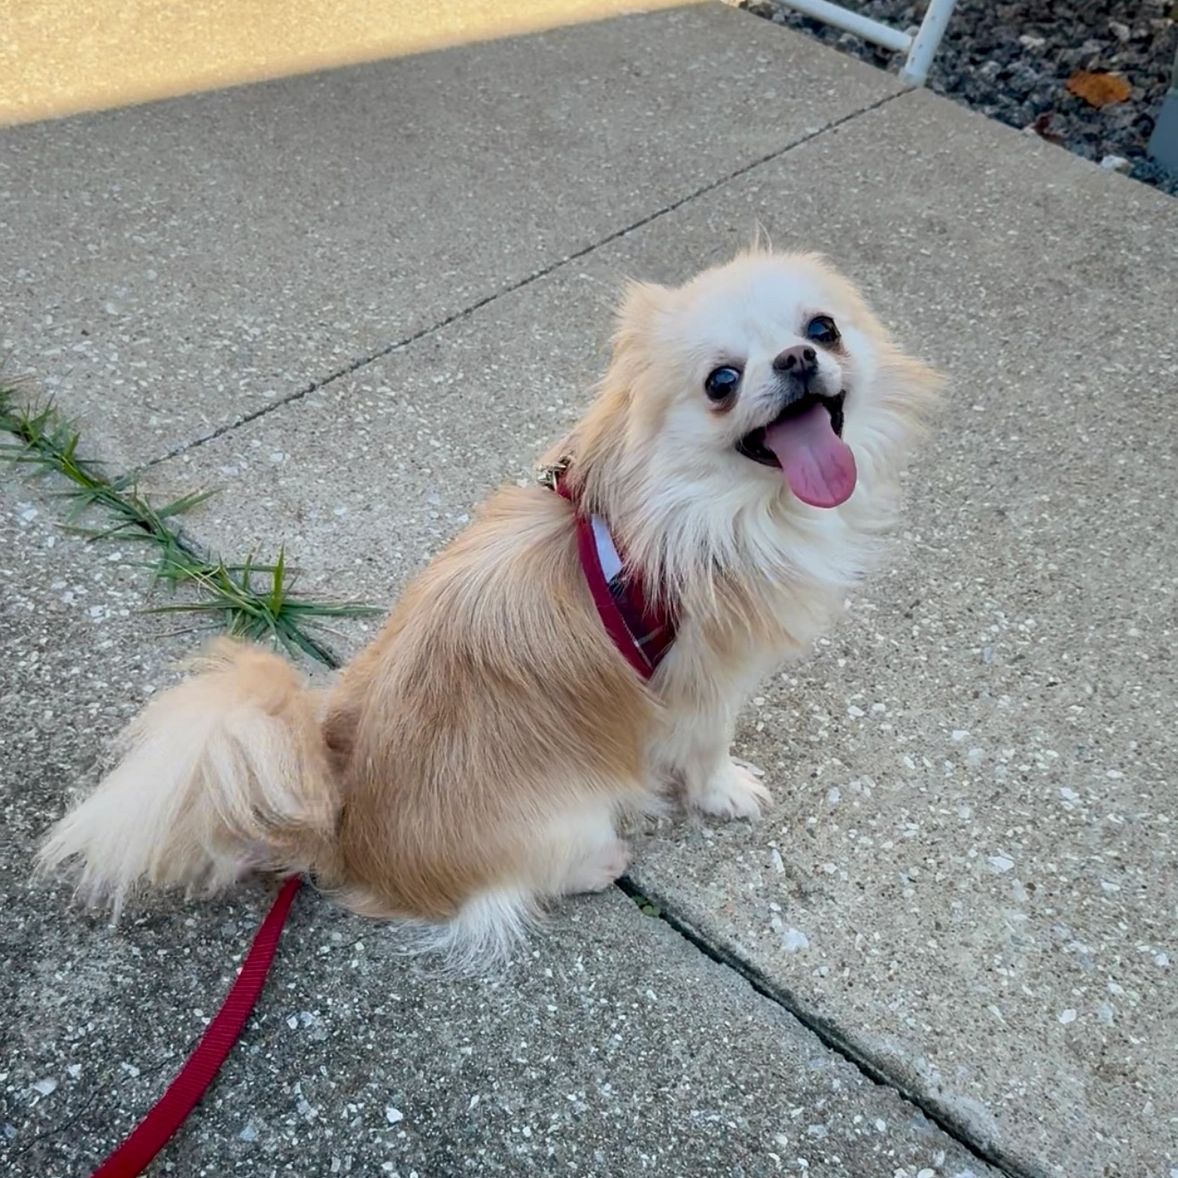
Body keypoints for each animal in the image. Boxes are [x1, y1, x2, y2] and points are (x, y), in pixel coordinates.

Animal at [38, 248, 940, 967]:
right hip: (570, 816)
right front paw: (725, 792)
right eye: (722, 382)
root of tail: (335, 827)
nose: (795, 358)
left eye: (823, 327)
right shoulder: (704, 682)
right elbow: (709, 751)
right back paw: (602, 865)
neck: (703, 506)